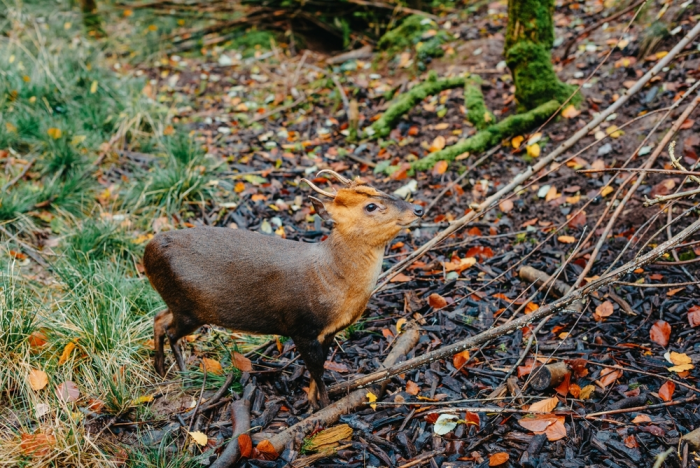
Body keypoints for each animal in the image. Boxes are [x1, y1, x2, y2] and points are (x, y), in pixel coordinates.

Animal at [145, 170, 424, 408]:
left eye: (379, 190)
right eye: (371, 206)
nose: (418, 208)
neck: (331, 278)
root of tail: (148, 250)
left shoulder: (328, 331)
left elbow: (319, 366)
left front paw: (312, 399)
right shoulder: (300, 326)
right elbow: (317, 369)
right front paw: (323, 407)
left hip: (178, 304)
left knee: (159, 318)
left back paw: (160, 369)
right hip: (189, 308)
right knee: (170, 331)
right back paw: (184, 375)